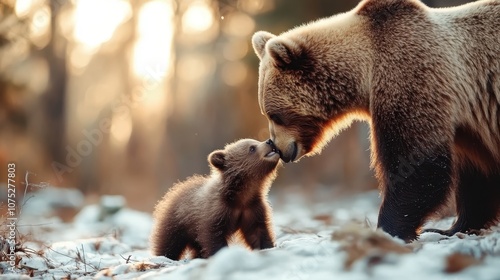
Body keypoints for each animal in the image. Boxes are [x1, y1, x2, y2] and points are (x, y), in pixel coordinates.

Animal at [252, 0, 498, 242]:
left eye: (275, 115)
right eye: (266, 113)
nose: (279, 148)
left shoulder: (409, 74)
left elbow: (416, 165)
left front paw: (390, 228)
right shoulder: (466, 121)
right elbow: (476, 174)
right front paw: (452, 228)